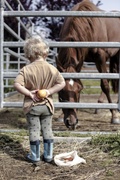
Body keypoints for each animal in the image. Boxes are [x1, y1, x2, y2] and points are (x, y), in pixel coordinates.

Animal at [56, 0, 120, 129]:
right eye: (61, 91)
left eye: (79, 90)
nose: (71, 122)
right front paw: (61, 115)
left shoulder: (100, 57)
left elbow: (105, 85)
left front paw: (114, 115)